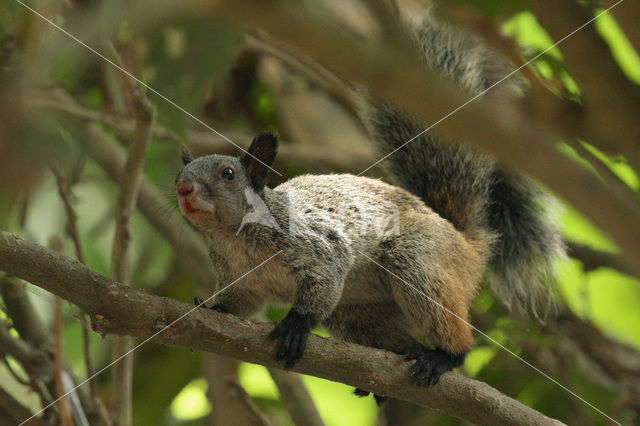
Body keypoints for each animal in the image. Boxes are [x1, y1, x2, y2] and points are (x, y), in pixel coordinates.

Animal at [175, 12, 564, 400]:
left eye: (227, 174)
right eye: (179, 173)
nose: (183, 188)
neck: (235, 238)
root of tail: (464, 242)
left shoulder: (319, 247)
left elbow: (324, 277)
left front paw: (296, 324)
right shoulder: (240, 282)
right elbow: (237, 305)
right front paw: (210, 307)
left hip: (418, 259)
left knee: (451, 330)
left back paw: (442, 357)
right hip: (357, 314)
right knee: (395, 337)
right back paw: (398, 361)